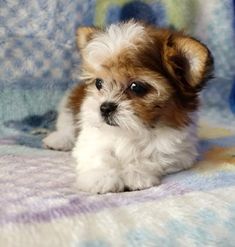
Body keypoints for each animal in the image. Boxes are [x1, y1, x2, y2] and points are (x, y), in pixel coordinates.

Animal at [42, 20, 213, 194]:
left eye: (136, 87)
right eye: (99, 83)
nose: (105, 108)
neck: (129, 132)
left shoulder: (179, 152)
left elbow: (152, 157)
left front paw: (135, 174)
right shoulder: (91, 138)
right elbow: (98, 153)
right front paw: (101, 177)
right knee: (67, 124)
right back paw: (58, 140)